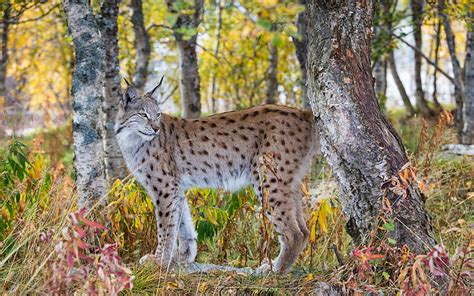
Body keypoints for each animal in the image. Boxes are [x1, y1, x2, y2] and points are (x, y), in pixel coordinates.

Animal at [115, 81, 318, 272]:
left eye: (157, 115)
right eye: (143, 114)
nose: (156, 129)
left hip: (267, 177)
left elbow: (166, 227)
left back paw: (275, 269)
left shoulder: (164, 187)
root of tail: (303, 113)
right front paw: (182, 258)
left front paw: (159, 264)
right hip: (288, 180)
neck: (131, 139)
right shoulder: (175, 187)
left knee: (294, 232)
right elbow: (182, 223)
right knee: (304, 230)